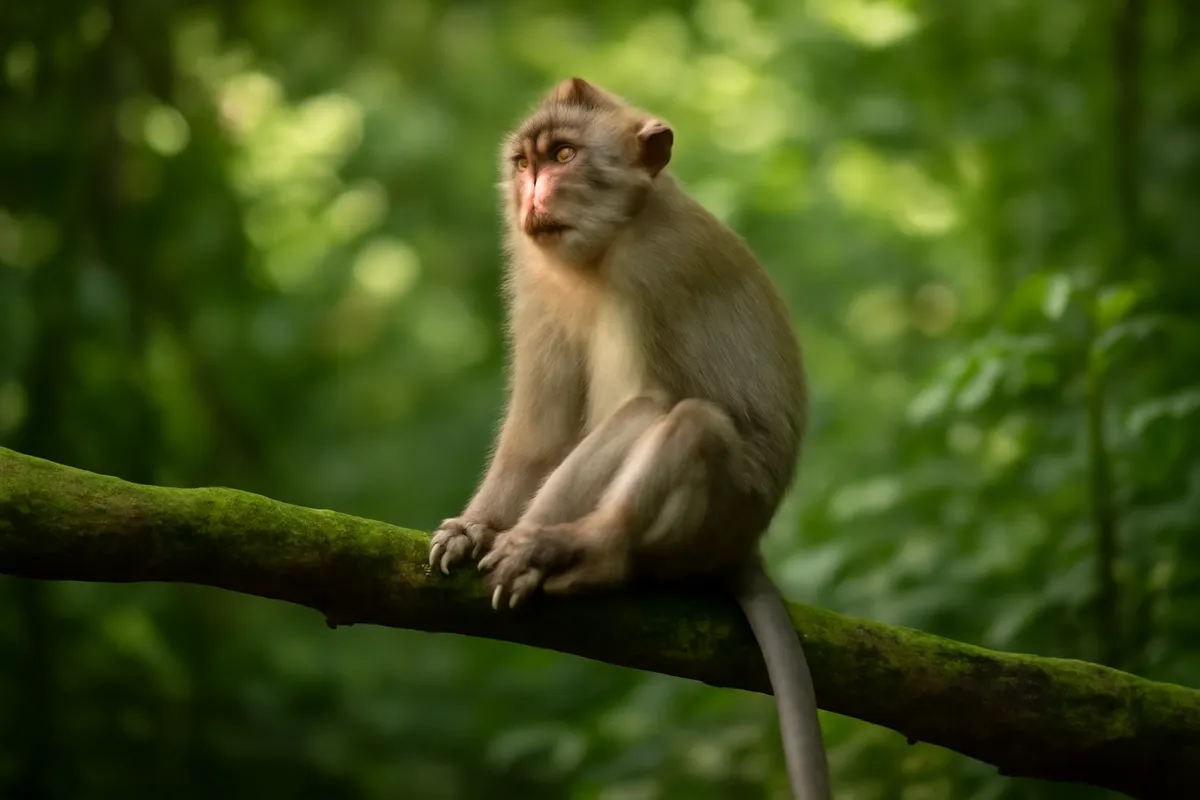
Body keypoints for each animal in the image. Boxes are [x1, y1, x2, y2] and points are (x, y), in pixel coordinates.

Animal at [427, 77, 831, 799]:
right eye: (526, 163)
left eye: (564, 155)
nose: (533, 194)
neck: (604, 247)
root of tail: (746, 546)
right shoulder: (536, 281)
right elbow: (539, 432)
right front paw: (476, 528)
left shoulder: (652, 269)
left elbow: (645, 405)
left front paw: (525, 540)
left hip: (723, 513)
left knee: (684, 420)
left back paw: (588, 548)